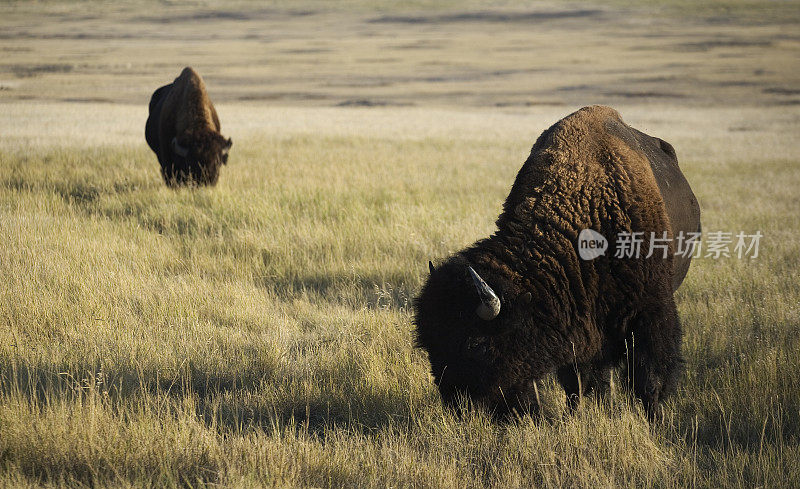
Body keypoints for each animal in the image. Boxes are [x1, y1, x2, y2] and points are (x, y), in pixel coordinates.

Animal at [412, 105, 700, 418]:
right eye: (428, 342)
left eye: (475, 344)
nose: (459, 406)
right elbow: (578, 381)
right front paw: (575, 414)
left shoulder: (651, 311)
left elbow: (649, 380)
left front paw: (655, 419)